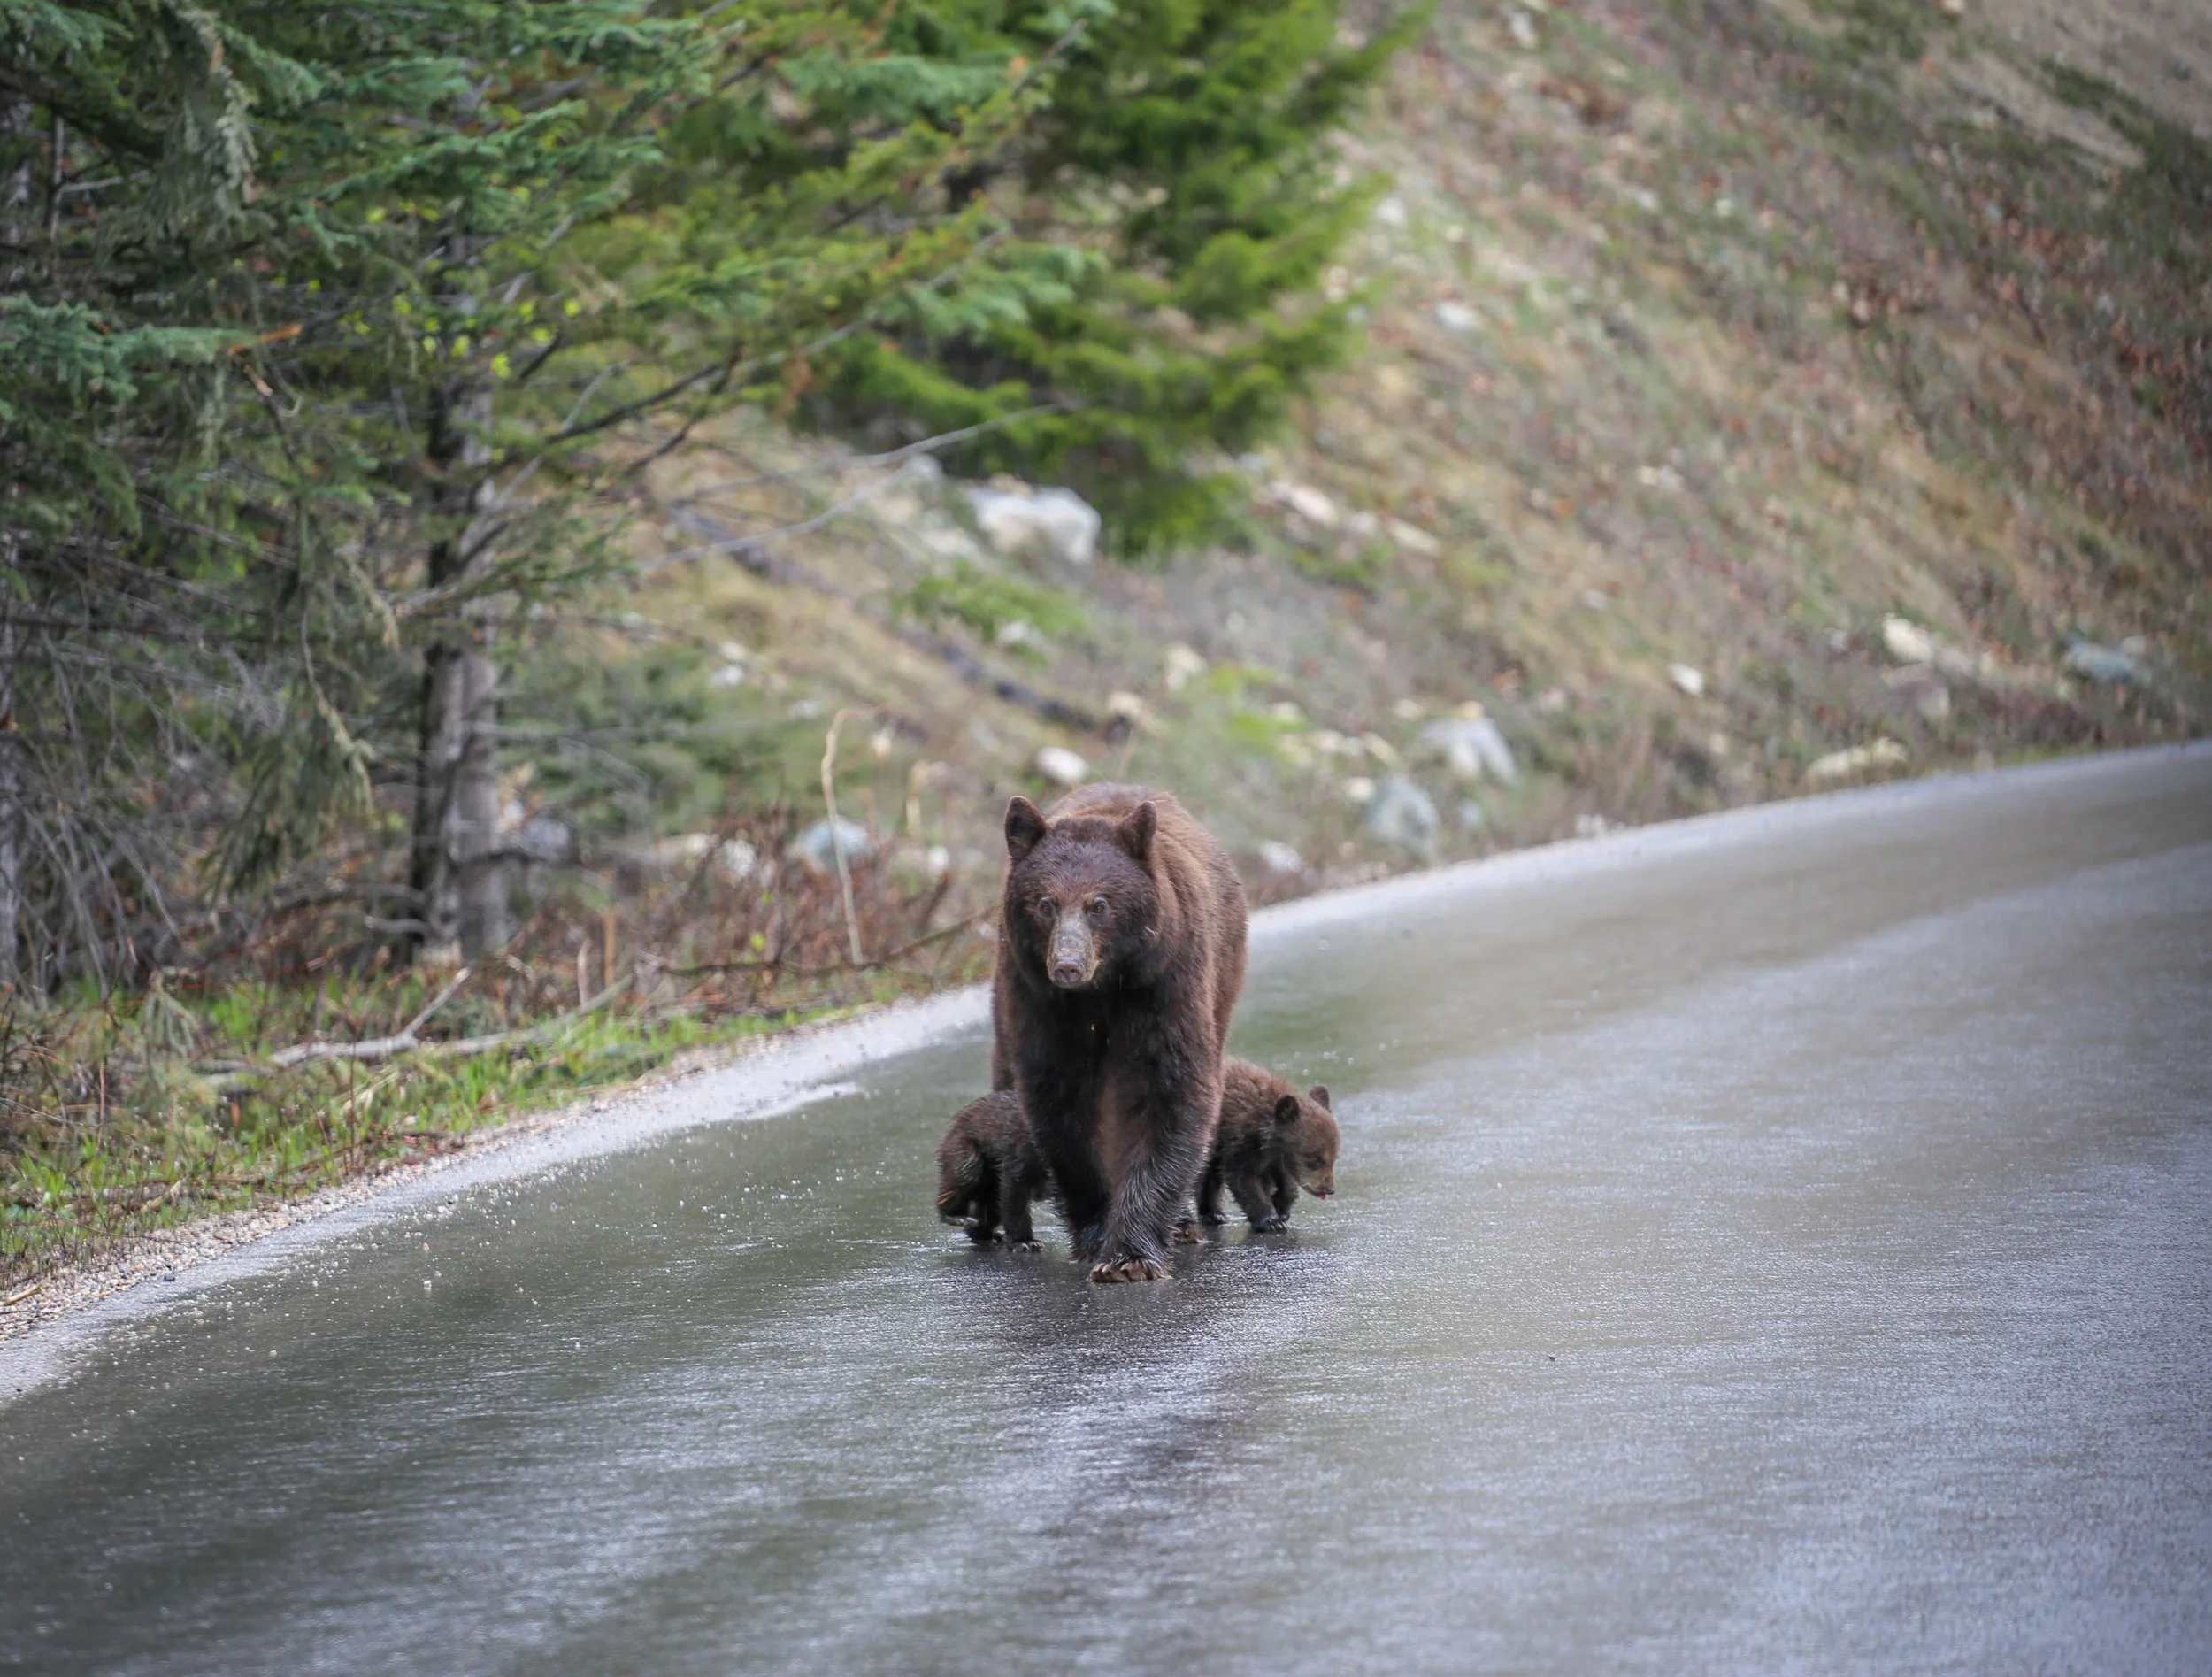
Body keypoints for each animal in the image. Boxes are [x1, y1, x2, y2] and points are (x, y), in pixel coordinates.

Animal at [934, 1090, 1049, 1250]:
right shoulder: (1019, 1153)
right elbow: (1015, 1201)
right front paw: (1024, 1242)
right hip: (965, 1152)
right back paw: (958, 1217)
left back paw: (988, 1236)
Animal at [992, 782, 1248, 1283]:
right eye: (1045, 904)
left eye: (1100, 905)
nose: (1067, 965)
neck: (1102, 991)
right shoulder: (1041, 1002)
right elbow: (1062, 1103)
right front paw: (1096, 1234)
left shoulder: (1164, 985)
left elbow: (1169, 1089)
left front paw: (1130, 1254)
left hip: (1223, 980)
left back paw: (1182, 1222)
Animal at [1196, 1057, 1339, 1233]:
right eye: (1316, 1160)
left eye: (1334, 1159)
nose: (1329, 1189)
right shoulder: (1239, 1143)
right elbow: (1244, 1179)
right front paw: (1271, 1221)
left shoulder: (1273, 1158)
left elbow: (1285, 1180)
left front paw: (1281, 1206)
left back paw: (1215, 1214)